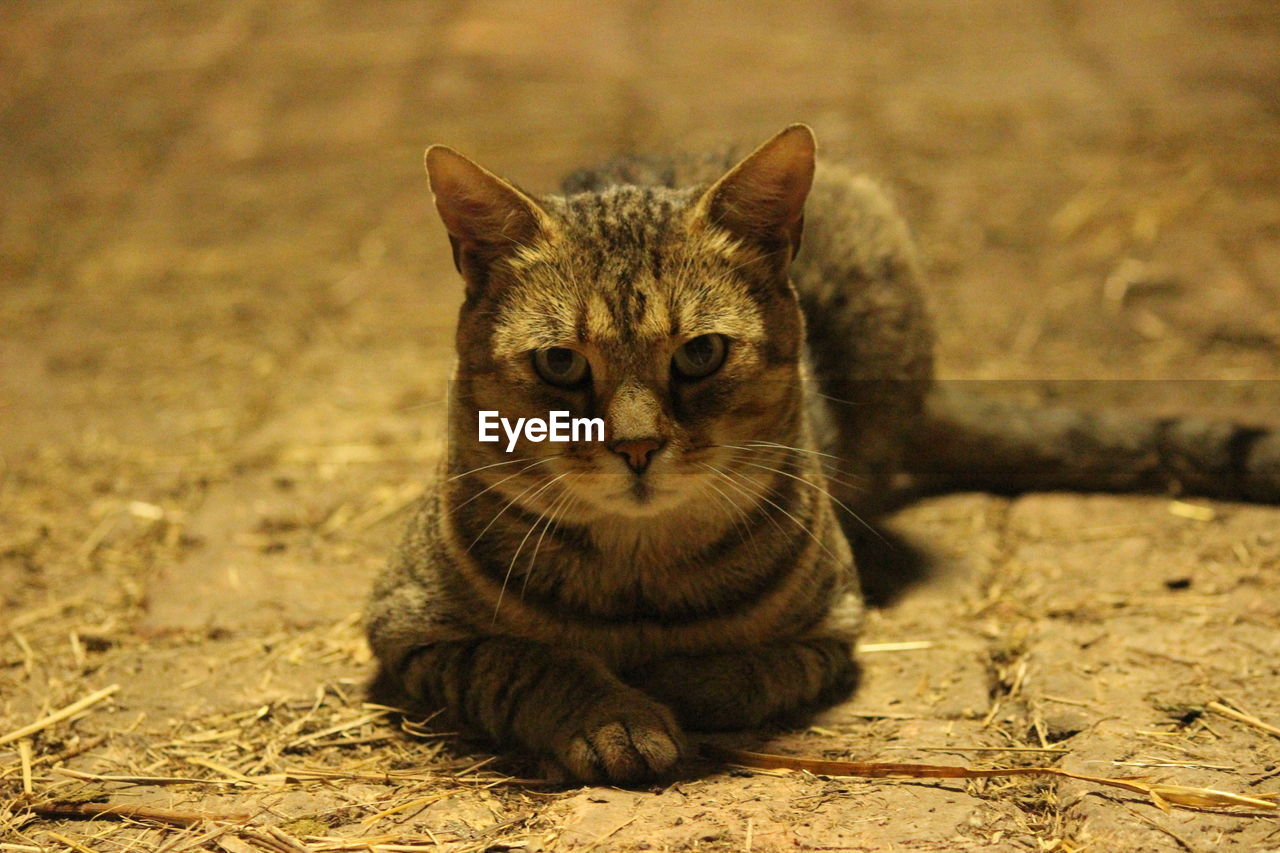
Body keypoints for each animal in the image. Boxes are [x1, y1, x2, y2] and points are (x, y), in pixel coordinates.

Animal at [363, 122, 1280, 778]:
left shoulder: (830, 628)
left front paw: (669, 686)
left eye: (700, 354)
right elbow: (531, 660)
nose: (637, 446)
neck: (638, 575)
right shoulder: (411, 628)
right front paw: (613, 714)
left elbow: (744, 666)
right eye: (560, 364)